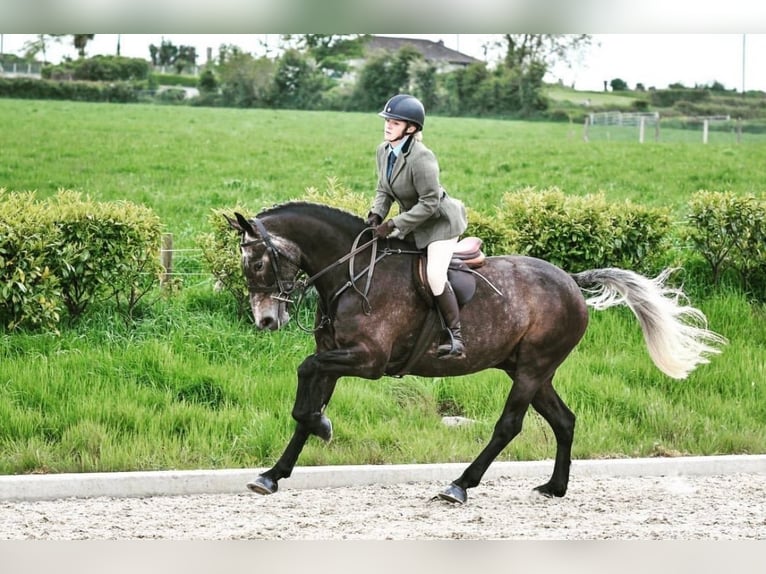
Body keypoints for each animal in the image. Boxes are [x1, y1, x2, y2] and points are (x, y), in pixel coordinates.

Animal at [226, 201, 728, 504]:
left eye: (257, 262)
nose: (266, 321)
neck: (351, 274)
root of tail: (570, 280)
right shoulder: (335, 357)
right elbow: (304, 409)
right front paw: (274, 472)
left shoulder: (366, 360)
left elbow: (305, 376)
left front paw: (321, 427)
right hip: (532, 370)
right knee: (564, 421)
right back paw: (554, 487)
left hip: (531, 370)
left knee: (509, 425)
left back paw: (459, 486)